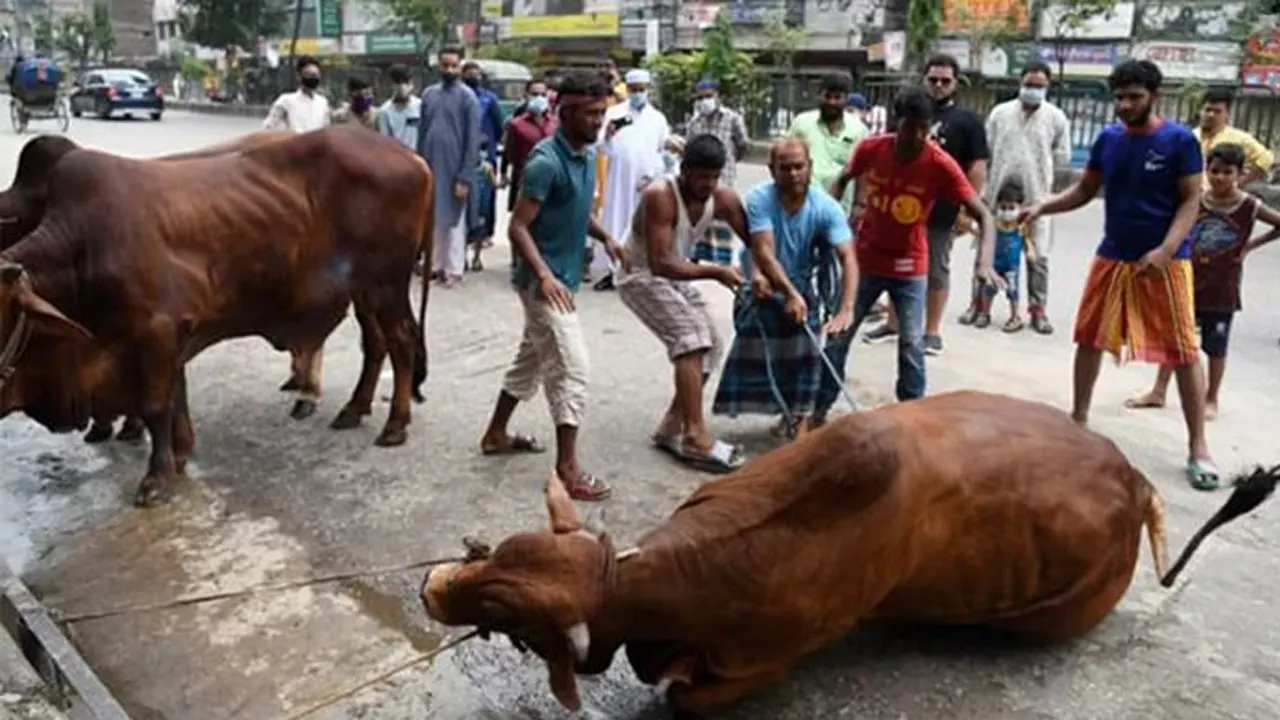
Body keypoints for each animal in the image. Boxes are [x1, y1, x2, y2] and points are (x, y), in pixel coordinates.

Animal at [0, 122, 435, 504]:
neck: (82, 250)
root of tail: (414, 158)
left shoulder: (156, 333)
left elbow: (155, 404)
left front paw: (156, 477)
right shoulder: (172, 337)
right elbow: (174, 396)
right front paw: (179, 454)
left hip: (386, 286)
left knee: (401, 342)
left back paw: (394, 424)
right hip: (367, 291)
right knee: (376, 343)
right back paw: (354, 408)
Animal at [422, 389, 1280, 712]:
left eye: (505, 616)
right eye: (495, 548)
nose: (433, 586)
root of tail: (1132, 480)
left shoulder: (760, 660)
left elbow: (685, 695)